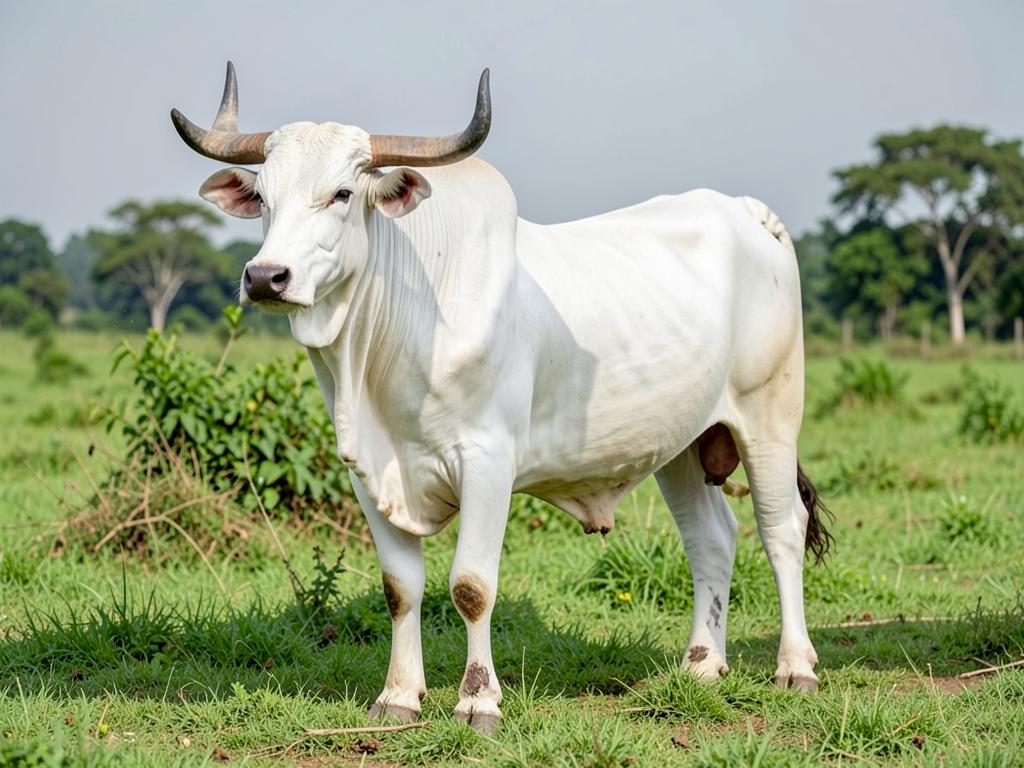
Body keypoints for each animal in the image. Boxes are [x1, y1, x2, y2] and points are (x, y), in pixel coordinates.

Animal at [171, 63, 831, 733]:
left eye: (342, 194)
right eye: (263, 198)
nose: (266, 277)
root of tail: (747, 213)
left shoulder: (487, 462)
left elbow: (471, 585)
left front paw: (478, 699)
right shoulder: (368, 474)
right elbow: (400, 587)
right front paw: (398, 695)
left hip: (770, 420)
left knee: (781, 529)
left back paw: (795, 666)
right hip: (681, 444)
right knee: (712, 539)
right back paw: (702, 665)